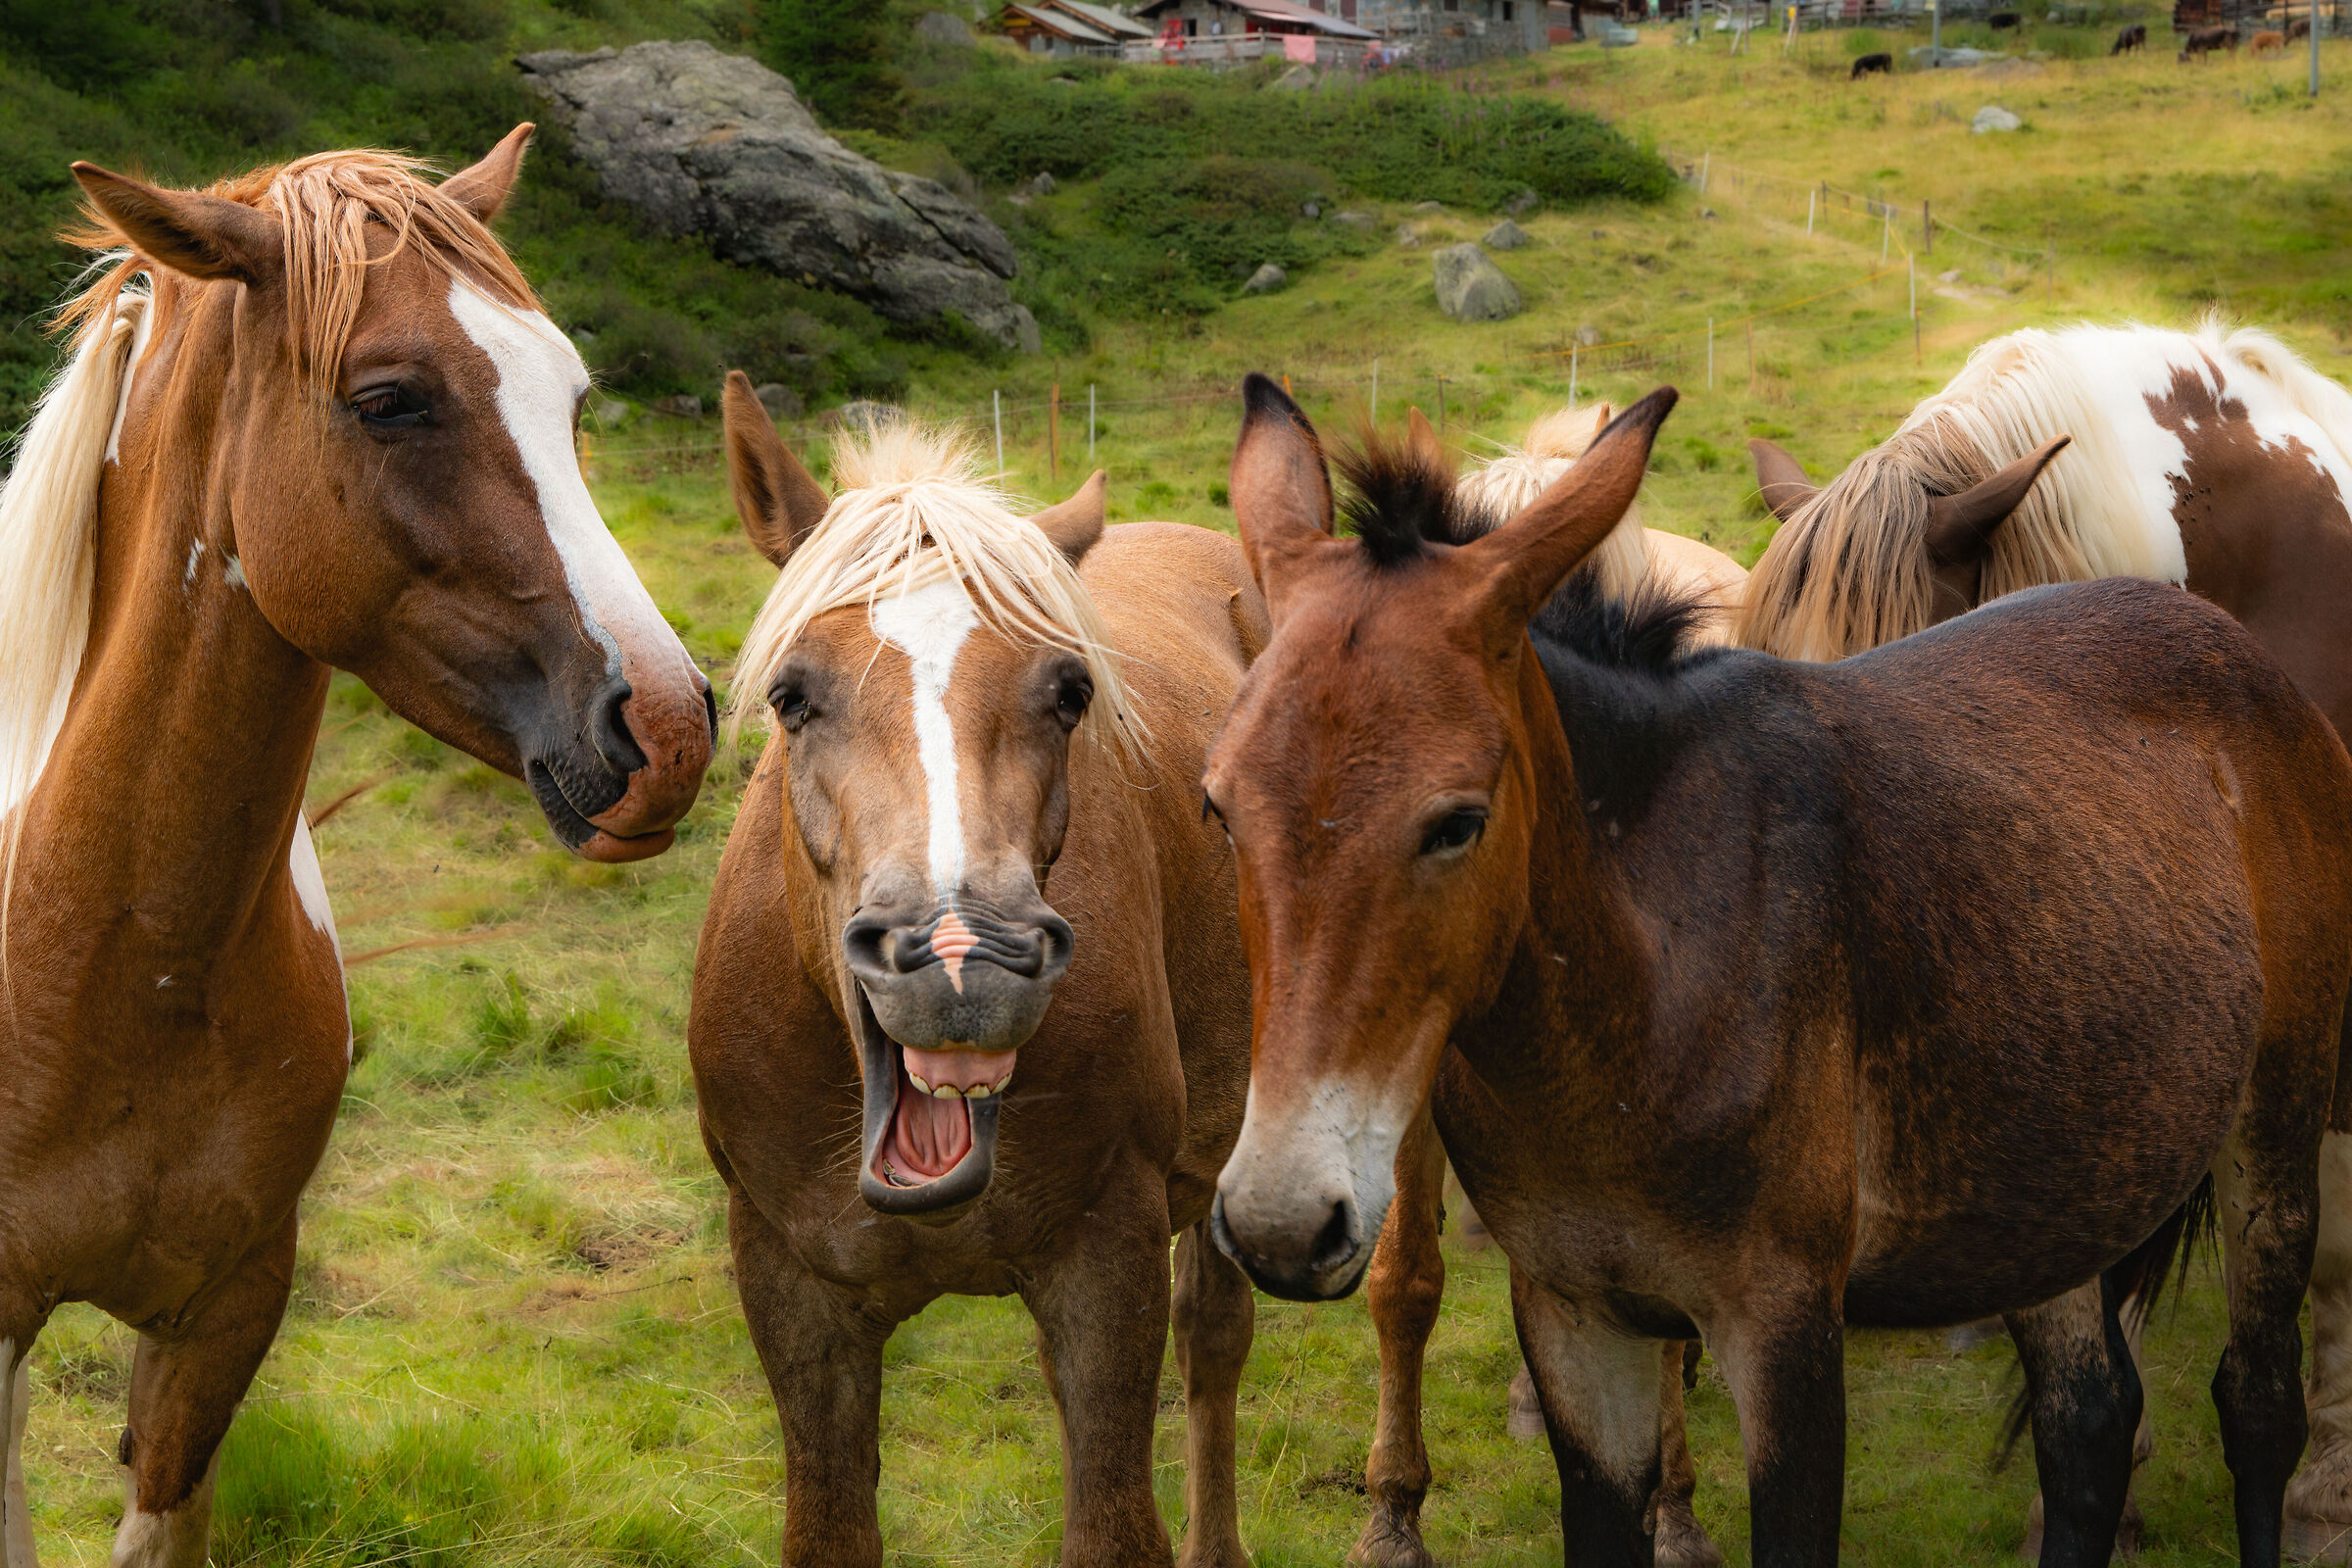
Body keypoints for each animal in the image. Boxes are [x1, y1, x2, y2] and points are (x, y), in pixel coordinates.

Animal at [688, 374, 1264, 1568]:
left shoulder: (1108, 1264)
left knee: (1223, 1338)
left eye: (1069, 693)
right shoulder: (791, 1286)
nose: (961, 956)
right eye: (792, 695)